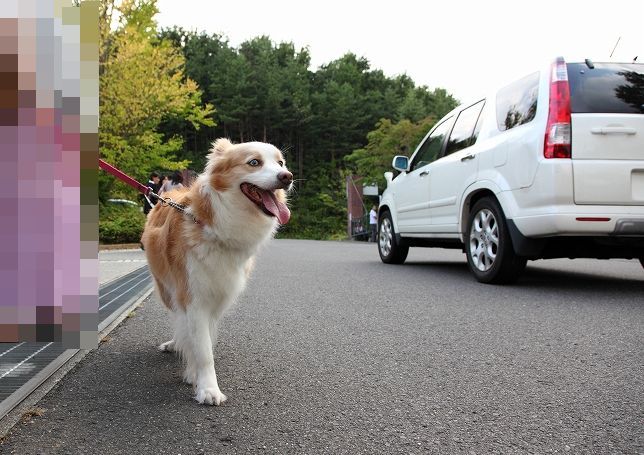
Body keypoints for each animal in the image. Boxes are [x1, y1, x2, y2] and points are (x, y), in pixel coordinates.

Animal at [142, 139, 294, 406]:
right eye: (254, 162)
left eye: (280, 163)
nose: (287, 177)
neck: (220, 227)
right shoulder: (193, 295)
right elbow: (202, 350)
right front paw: (207, 389)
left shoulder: (218, 296)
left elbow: (205, 341)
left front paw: (195, 374)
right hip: (167, 289)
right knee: (177, 317)